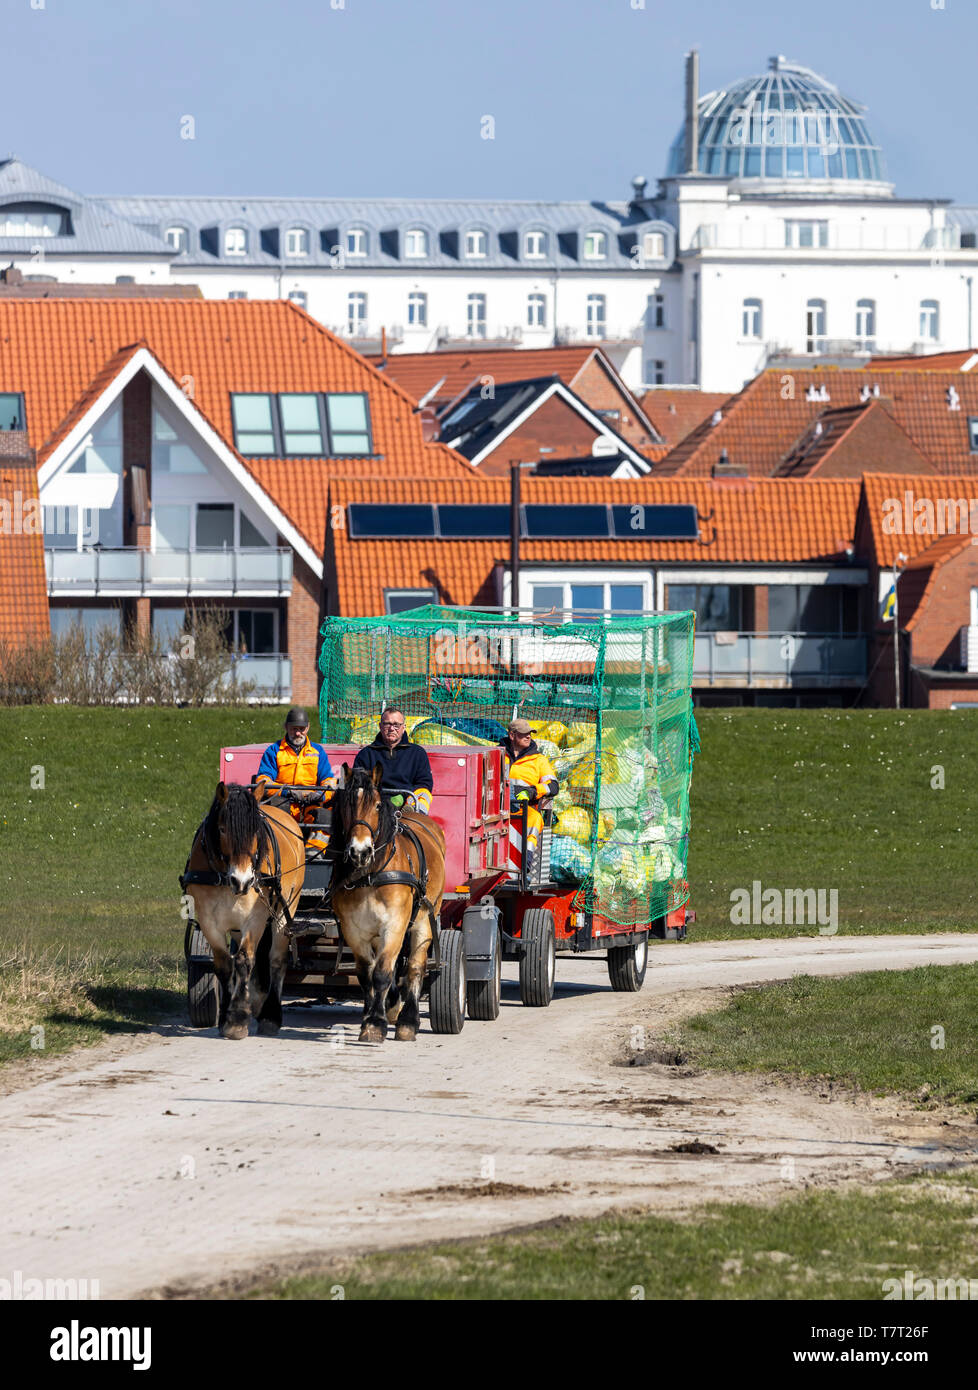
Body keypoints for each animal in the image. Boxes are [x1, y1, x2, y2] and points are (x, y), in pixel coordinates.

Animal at [181, 789, 305, 1039]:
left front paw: (237, 1019)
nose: (243, 880)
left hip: (286, 908)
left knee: (276, 959)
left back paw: (270, 1016)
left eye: (255, 831)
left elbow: (244, 960)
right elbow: (224, 964)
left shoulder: (255, 918)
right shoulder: (208, 920)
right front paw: (226, 1017)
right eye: (222, 829)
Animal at [332, 761, 447, 1045]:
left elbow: (382, 973)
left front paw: (375, 1024)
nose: (359, 851)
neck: (370, 874)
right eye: (346, 806)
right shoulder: (354, 930)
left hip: (424, 919)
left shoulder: (394, 924)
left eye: (376, 805)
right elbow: (367, 974)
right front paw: (372, 1016)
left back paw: (408, 1021)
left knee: (415, 967)